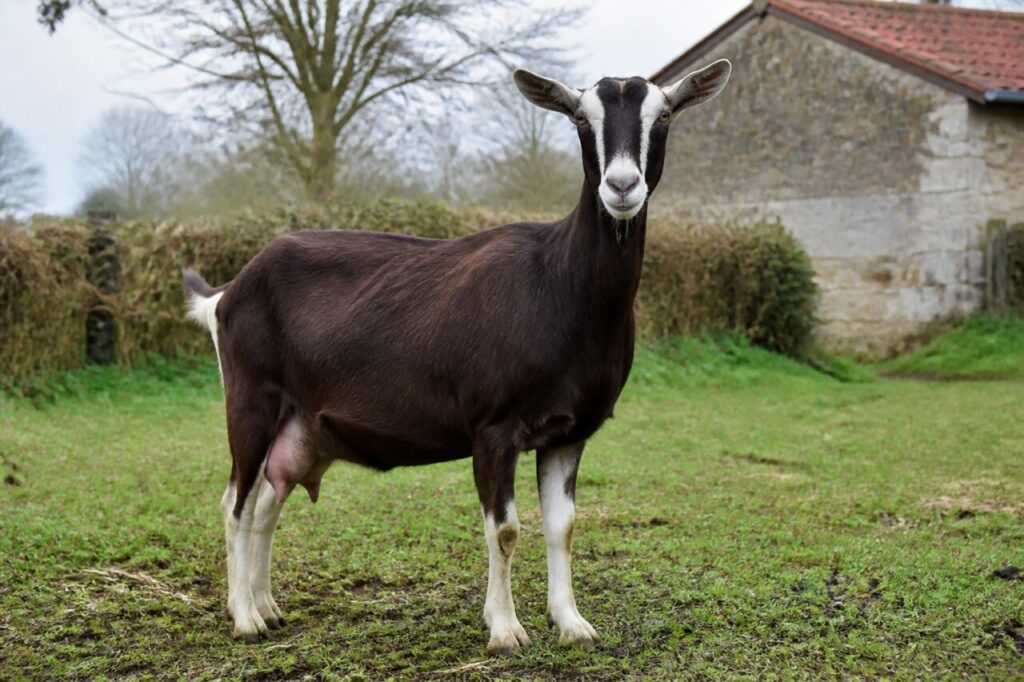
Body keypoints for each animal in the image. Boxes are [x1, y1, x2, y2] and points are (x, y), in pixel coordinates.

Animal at [184, 59, 731, 654]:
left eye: (665, 115)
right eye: (581, 119)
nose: (623, 185)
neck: (558, 285)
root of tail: (226, 294)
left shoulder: (569, 433)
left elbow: (562, 526)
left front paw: (571, 622)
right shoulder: (493, 427)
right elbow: (506, 528)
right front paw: (506, 629)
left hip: (301, 427)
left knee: (267, 503)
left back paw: (267, 605)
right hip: (251, 399)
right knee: (235, 505)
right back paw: (245, 617)